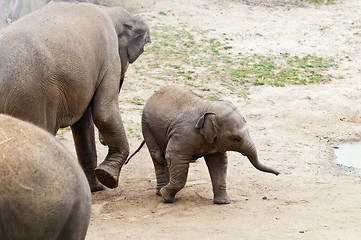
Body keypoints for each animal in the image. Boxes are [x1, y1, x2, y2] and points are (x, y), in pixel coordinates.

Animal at [0, 0, 150, 191]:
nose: (103, 140)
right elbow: (104, 112)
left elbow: (83, 124)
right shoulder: (109, 57)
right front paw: (107, 178)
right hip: (31, 97)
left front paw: (96, 188)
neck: (108, 11)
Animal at [139, 86, 278, 204]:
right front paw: (166, 197)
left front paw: (223, 202)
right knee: (158, 157)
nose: (278, 173)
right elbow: (174, 157)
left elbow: (219, 162)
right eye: (236, 139)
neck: (209, 106)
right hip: (146, 127)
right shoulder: (182, 136)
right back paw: (160, 192)